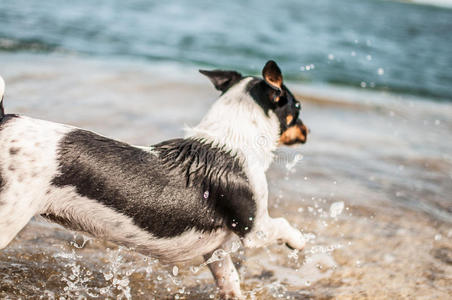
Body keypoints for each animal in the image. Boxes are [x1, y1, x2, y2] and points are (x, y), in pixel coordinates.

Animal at [0, 60, 308, 298]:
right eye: (298, 106)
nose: (307, 132)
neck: (229, 140)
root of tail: (5, 120)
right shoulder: (256, 230)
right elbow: (284, 225)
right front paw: (299, 242)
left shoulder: (216, 250)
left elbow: (229, 280)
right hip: (7, 218)